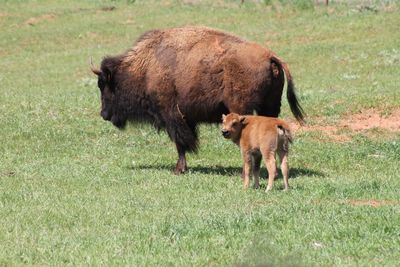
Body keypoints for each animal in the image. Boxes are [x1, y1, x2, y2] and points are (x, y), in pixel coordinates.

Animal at [91, 26, 304, 175]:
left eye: (104, 85)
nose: (103, 114)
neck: (145, 67)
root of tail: (270, 56)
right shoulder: (187, 118)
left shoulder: (173, 117)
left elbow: (181, 143)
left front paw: (179, 169)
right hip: (270, 106)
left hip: (243, 107)